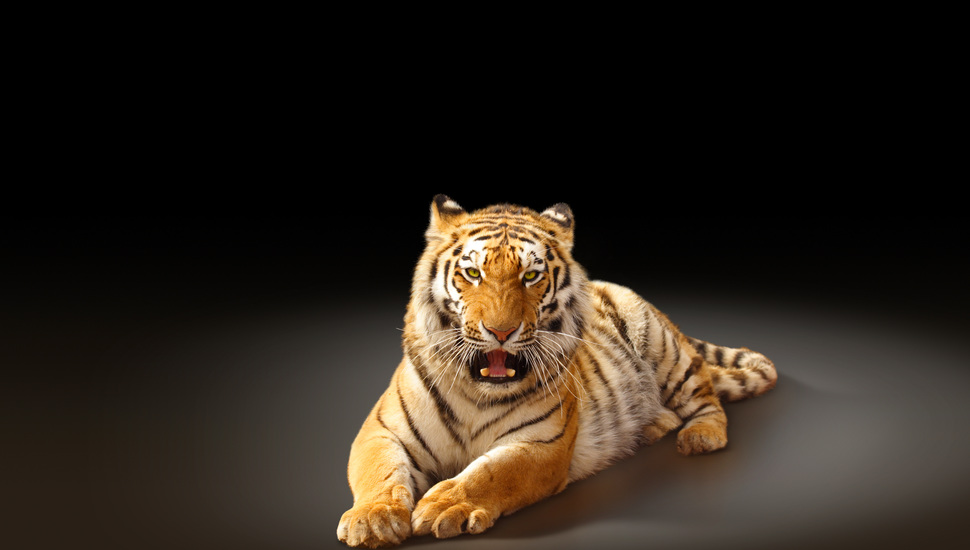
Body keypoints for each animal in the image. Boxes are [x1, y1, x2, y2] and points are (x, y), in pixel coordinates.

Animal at [337, 195, 777, 548]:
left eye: (531, 275)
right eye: (473, 273)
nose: (501, 332)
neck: (478, 392)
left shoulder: (541, 445)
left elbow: (490, 473)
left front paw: (443, 505)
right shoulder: (380, 430)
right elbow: (379, 470)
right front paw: (373, 519)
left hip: (664, 351)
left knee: (706, 396)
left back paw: (699, 436)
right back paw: (652, 426)